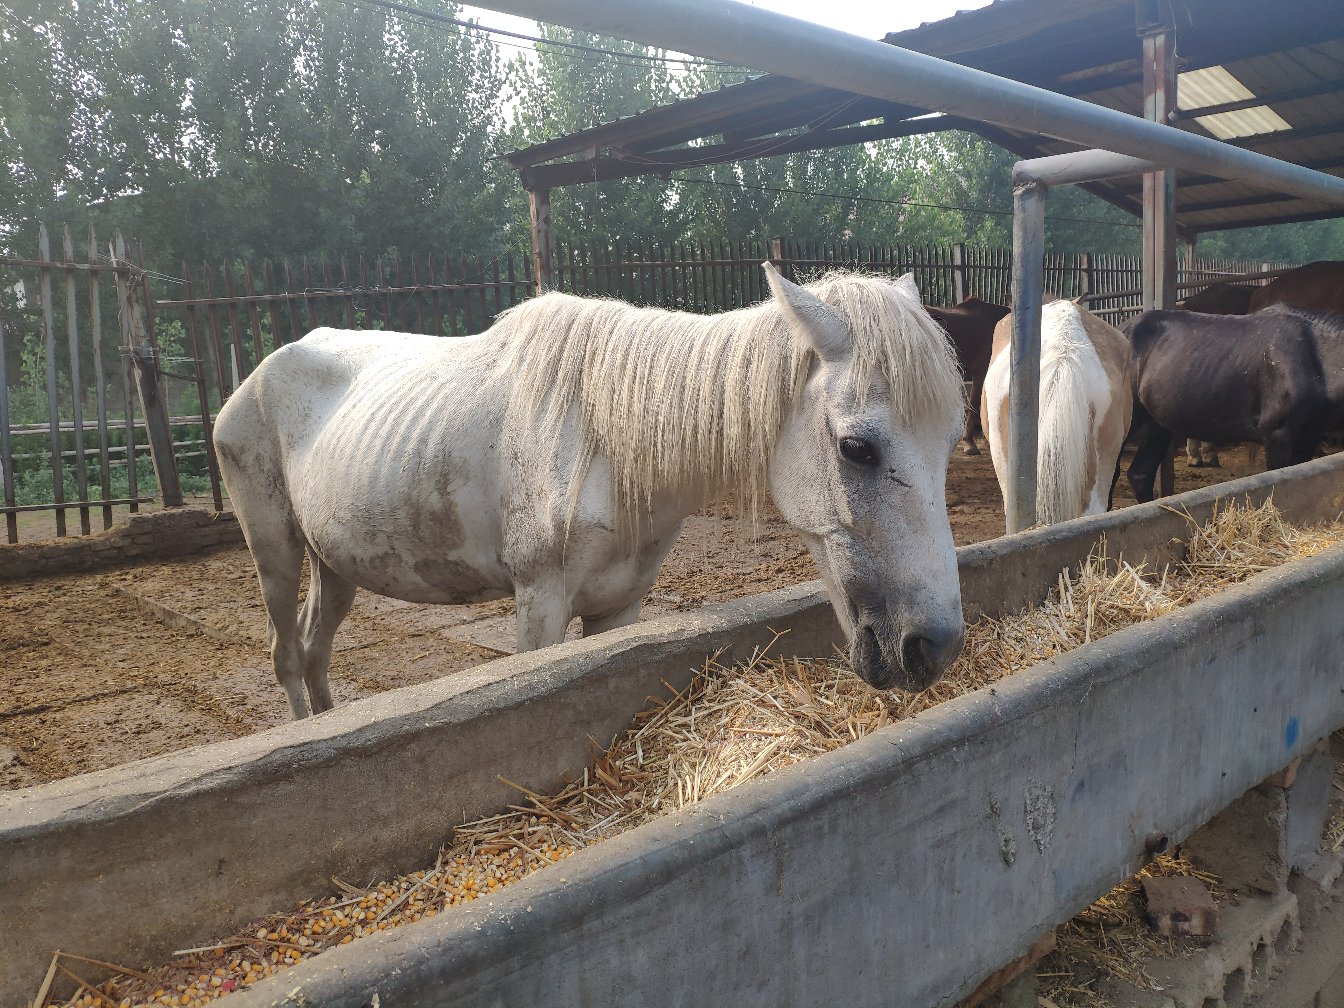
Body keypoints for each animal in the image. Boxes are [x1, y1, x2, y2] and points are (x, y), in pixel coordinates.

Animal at [213, 266, 969, 719]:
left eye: (950, 441)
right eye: (856, 448)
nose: (931, 648)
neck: (607, 437)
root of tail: (255, 376)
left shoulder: (618, 607)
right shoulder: (539, 604)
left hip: (336, 566)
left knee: (316, 651)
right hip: (275, 552)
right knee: (287, 654)